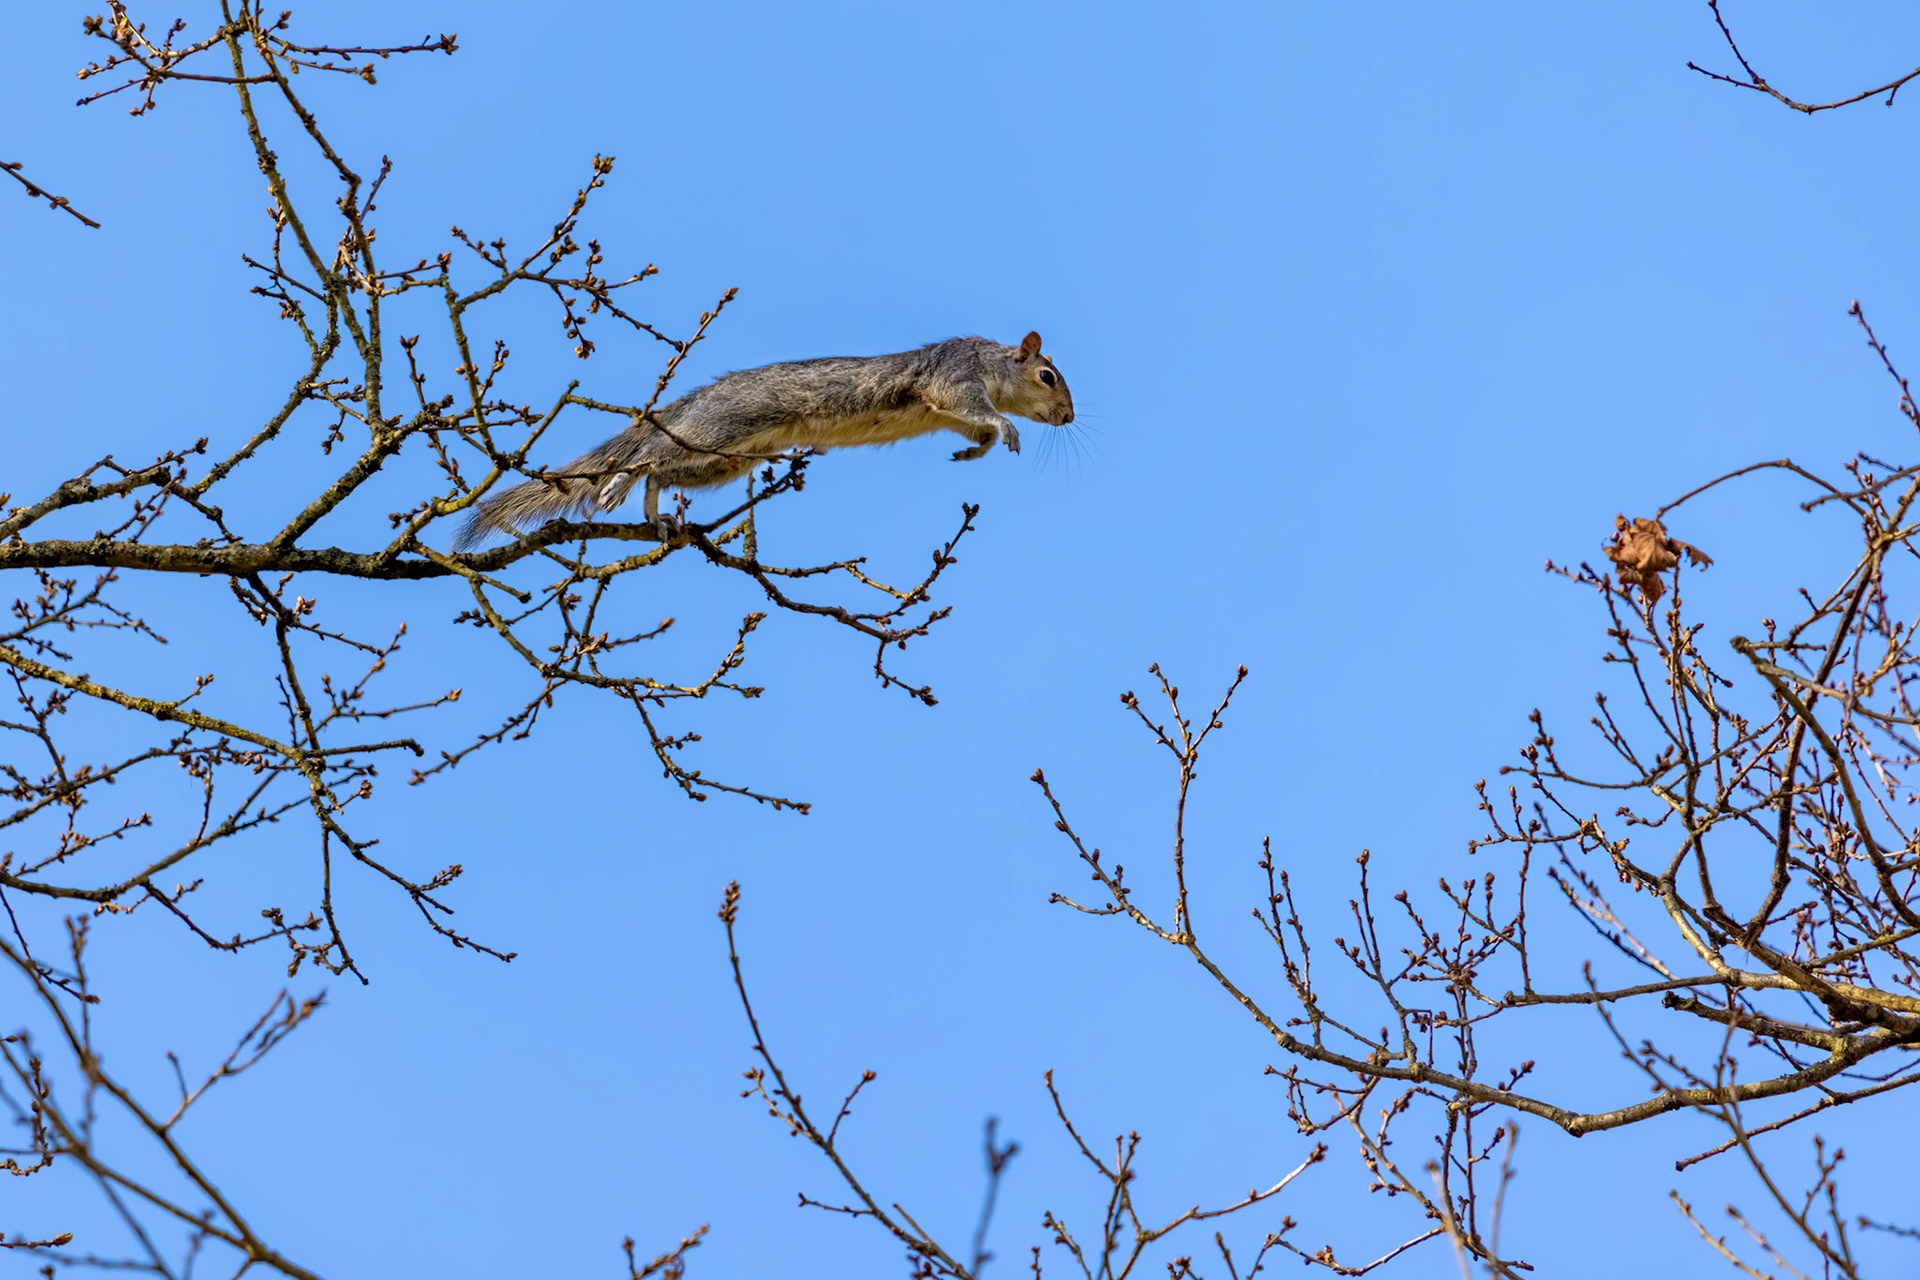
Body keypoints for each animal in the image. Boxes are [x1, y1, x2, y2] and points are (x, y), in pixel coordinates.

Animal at [454, 330, 1073, 548]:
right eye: (1048, 376)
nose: (1068, 417)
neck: (992, 361)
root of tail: (700, 399)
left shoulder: (945, 409)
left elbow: (971, 426)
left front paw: (976, 448)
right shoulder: (953, 378)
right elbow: (982, 411)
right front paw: (1009, 427)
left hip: (716, 462)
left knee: (664, 471)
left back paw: (655, 516)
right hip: (714, 431)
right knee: (652, 455)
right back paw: (618, 484)